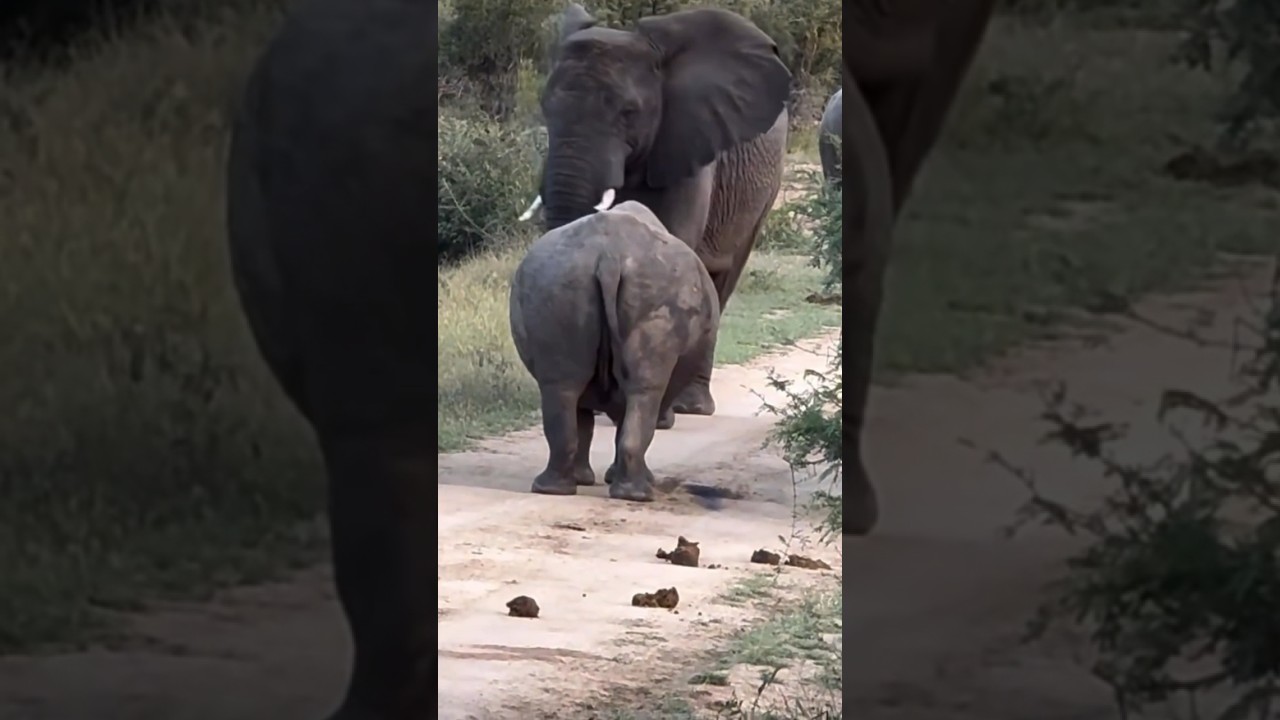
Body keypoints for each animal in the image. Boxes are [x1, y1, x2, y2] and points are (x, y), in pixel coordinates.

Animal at [509, 200, 720, 502]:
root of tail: (609, 258)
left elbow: (586, 417)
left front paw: (589, 479)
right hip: (658, 291)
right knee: (644, 391)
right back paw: (636, 494)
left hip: (557, 282)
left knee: (562, 386)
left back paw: (554, 490)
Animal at [525, 4, 792, 420]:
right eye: (545, 109)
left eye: (628, 112)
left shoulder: (689, 147)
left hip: (763, 192)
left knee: (722, 280)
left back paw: (689, 407)